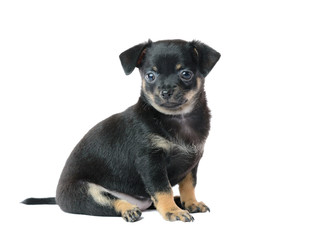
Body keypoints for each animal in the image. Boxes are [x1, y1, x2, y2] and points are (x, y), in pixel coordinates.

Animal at [22, 39, 220, 221]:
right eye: (150, 76)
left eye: (186, 74)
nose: (165, 92)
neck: (178, 117)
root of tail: (57, 198)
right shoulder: (151, 161)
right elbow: (162, 189)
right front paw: (172, 211)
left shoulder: (191, 162)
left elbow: (188, 185)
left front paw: (191, 203)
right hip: (87, 192)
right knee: (111, 201)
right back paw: (130, 209)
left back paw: (178, 201)